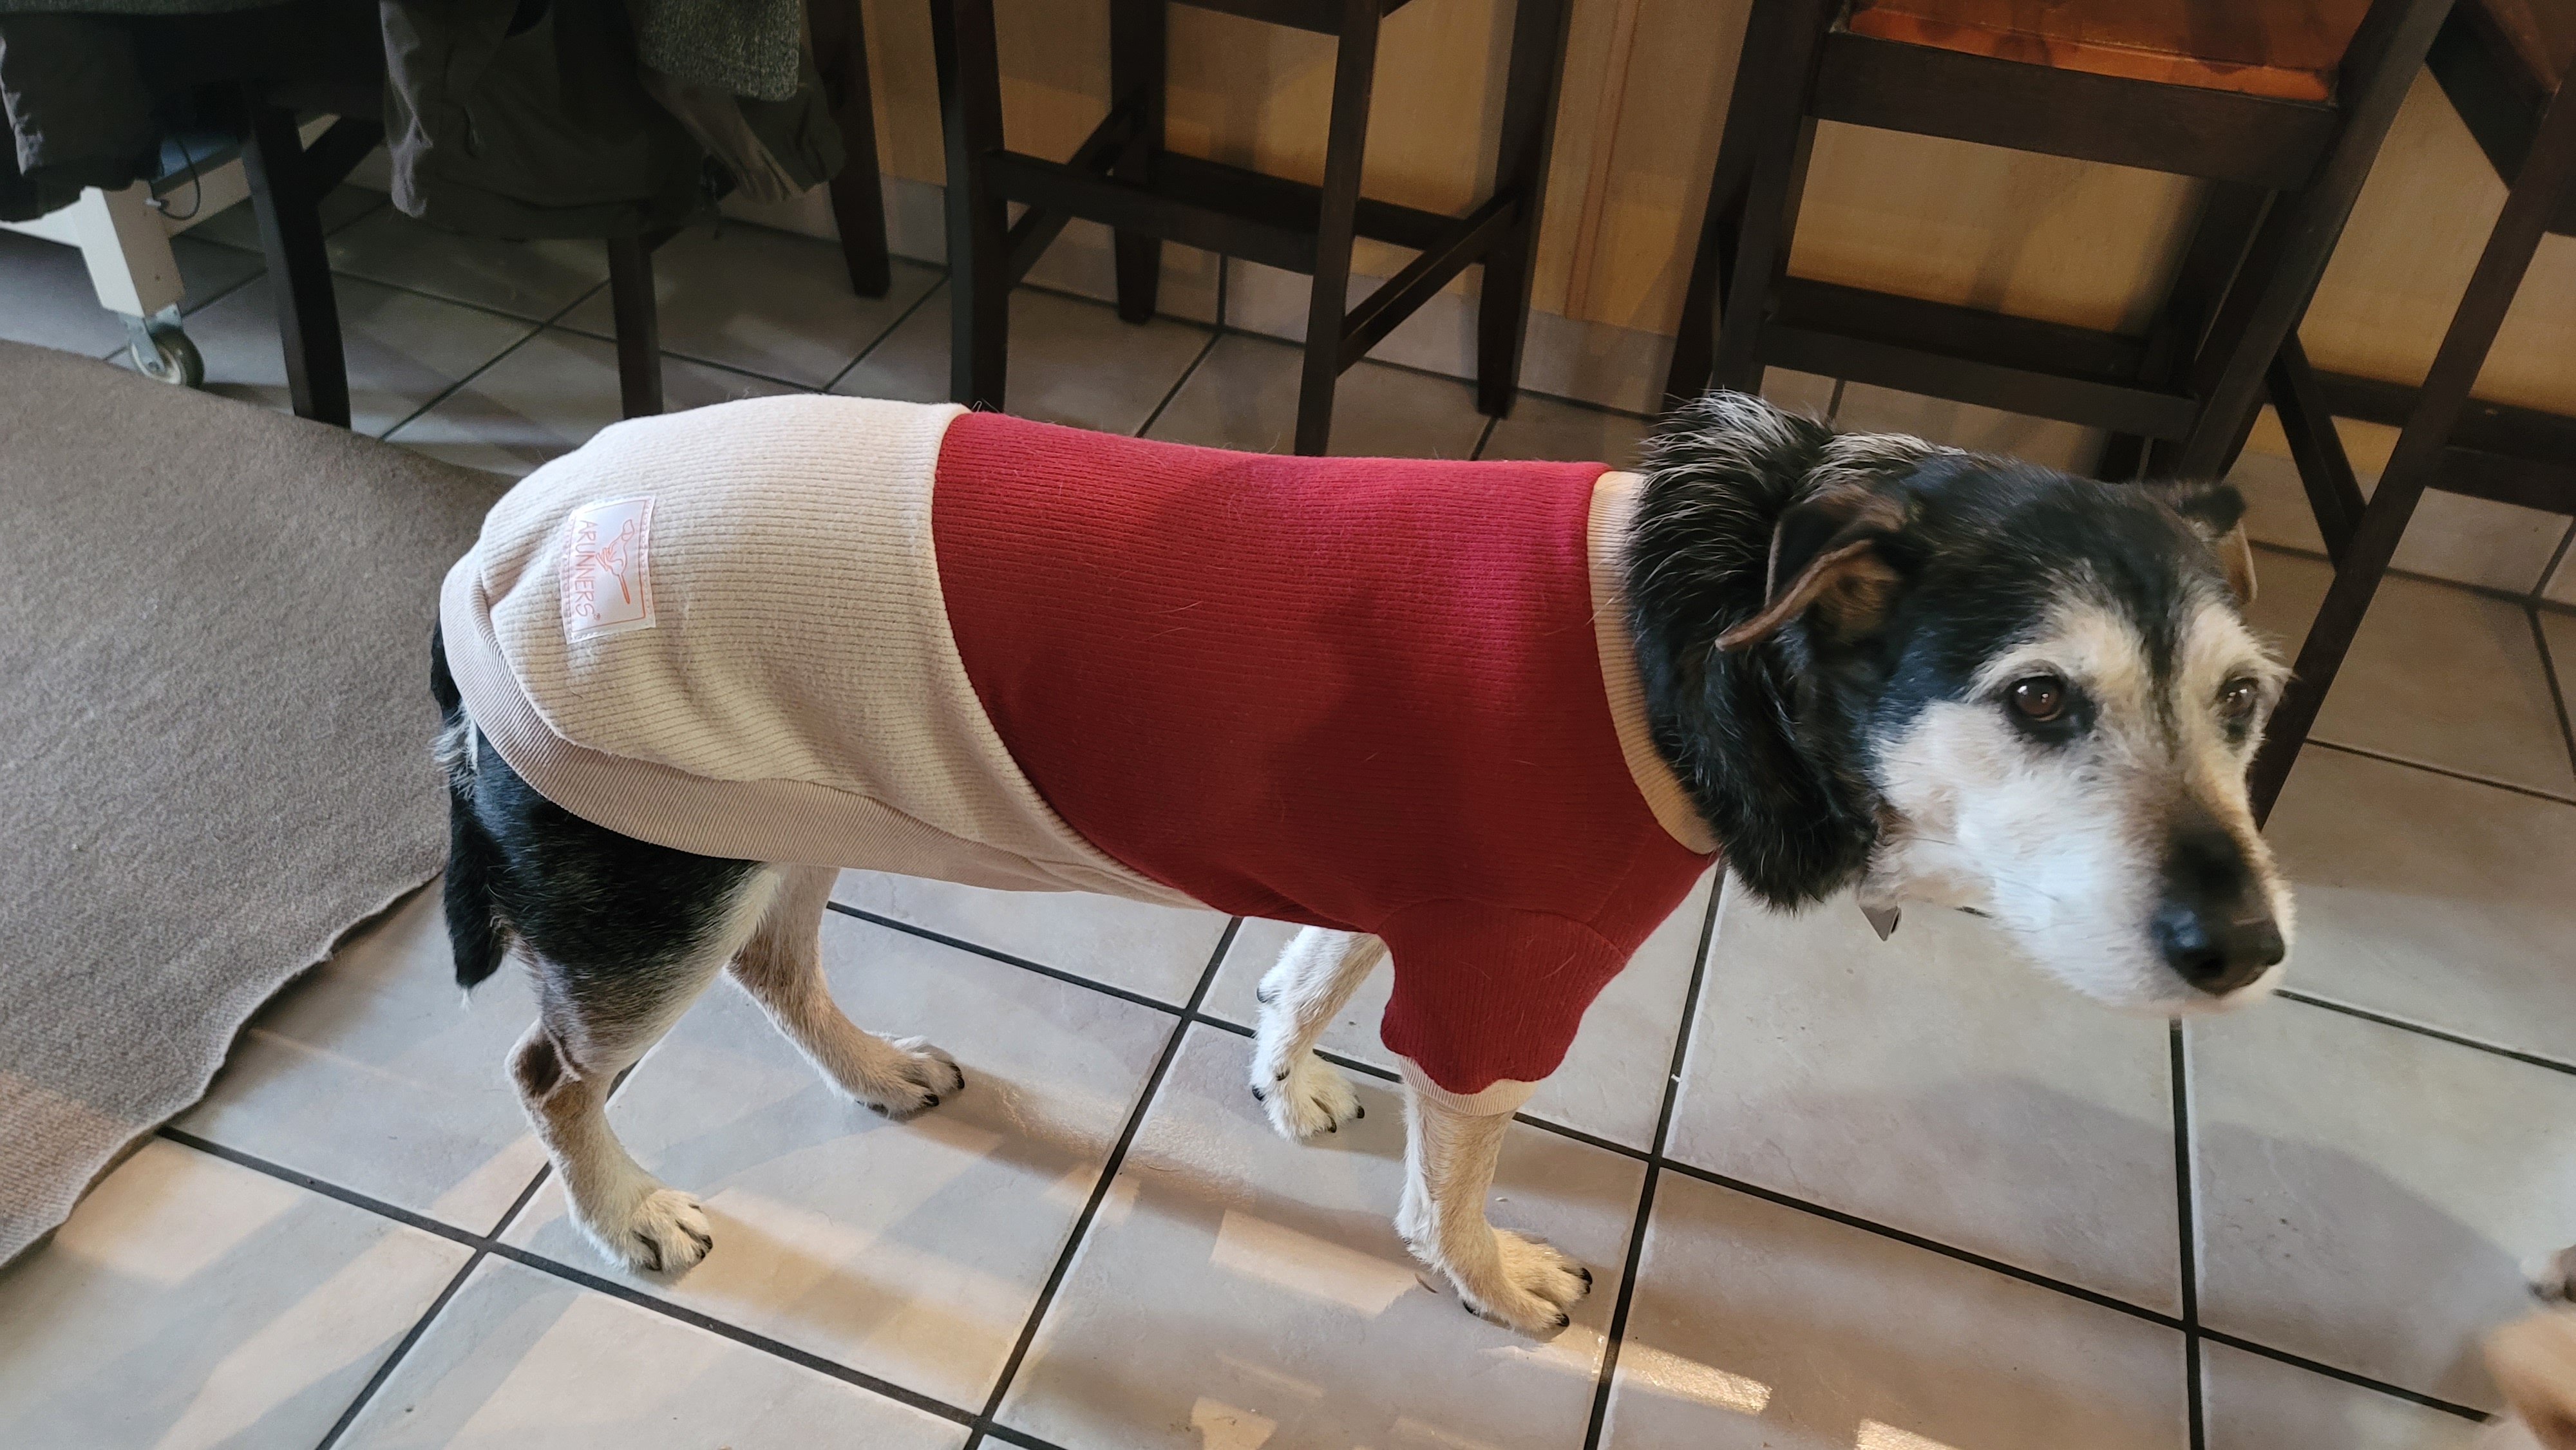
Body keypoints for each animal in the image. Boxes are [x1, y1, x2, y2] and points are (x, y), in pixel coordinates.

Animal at [428, 390, 2291, 1334]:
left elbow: (1309, 972)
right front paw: (1485, 1274)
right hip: (653, 871)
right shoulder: (1508, 965)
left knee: (776, 961)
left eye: (2245, 700)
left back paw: (879, 1068)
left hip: (762, 823)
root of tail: (500, 545)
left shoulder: (1406, 890)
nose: (2250, 943)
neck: (1698, 620)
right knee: (545, 1068)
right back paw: (628, 1210)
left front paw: (1288, 1077)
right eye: (2039, 697)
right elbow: (1451, 1168)